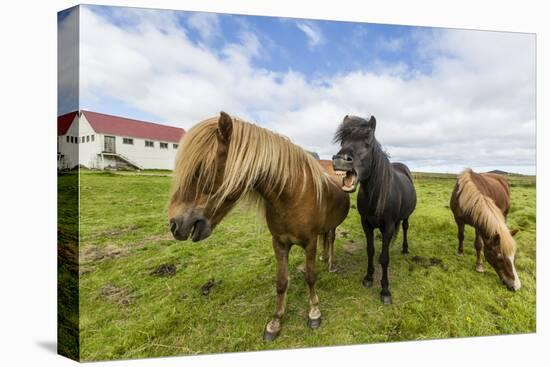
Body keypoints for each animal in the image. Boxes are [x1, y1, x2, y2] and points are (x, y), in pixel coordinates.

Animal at [167, 112, 350, 342]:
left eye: (200, 170)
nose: (174, 224)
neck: (293, 195)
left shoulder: (309, 242)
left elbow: (310, 277)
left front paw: (314, 313)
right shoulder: (279, 243)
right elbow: (281, 282)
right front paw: (275, 322)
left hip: (332, 226)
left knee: (331, 239)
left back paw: (331, 263)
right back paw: (325, 258)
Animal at [332, 115, 418, 304]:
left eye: (368, 141)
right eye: (342, 141)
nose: (340, 160)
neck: (377, 194)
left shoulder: (388, 226)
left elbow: (384, 258)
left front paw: (385, 290)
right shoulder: (366, 224)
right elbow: (370, 251)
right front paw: (368, 278)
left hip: (406, 217)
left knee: (405, 228)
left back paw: (405, 249)